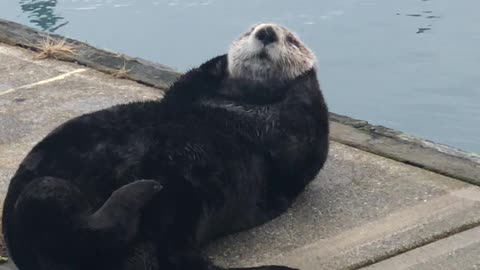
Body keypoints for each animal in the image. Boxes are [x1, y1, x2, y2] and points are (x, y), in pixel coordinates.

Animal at [1, 23, 330, 270]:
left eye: (292, 40)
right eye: (250, 30)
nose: (267, 32)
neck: (246, 99)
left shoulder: (301, 133)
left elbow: (298, 132)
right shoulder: (186, 92)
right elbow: (188, 83)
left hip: (185, 199)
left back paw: (145, 188)